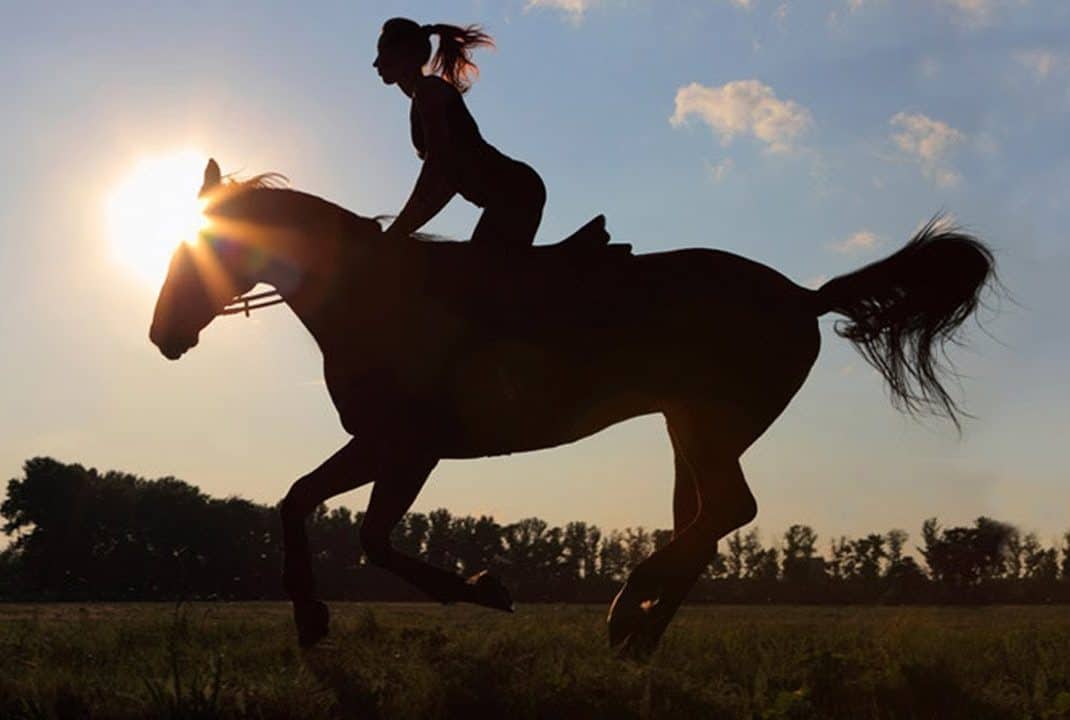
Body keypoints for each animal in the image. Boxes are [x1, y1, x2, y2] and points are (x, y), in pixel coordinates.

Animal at [148, 160, 992, 654]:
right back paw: (641, 628)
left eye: (208, 247)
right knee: (706, 518)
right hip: (690, 427)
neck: (369, 296)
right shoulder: (382, 444)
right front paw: (309, 615)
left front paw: (482, 590)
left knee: (725, 511)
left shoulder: (411, 447)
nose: (163, 335)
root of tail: (803, 296)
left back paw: (625, 610)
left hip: (706, 423)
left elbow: (372, 538)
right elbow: (297, 502)